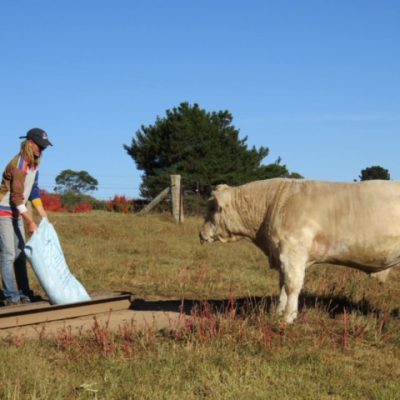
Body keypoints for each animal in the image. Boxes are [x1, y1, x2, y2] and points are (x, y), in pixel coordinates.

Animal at [200, 180, 400, 324]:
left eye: (212, 208)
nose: (201, 233)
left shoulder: (292, 252)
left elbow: (292, 285)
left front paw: (288, 318)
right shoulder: (282, 255)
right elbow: (282, 285)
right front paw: (278, 313)